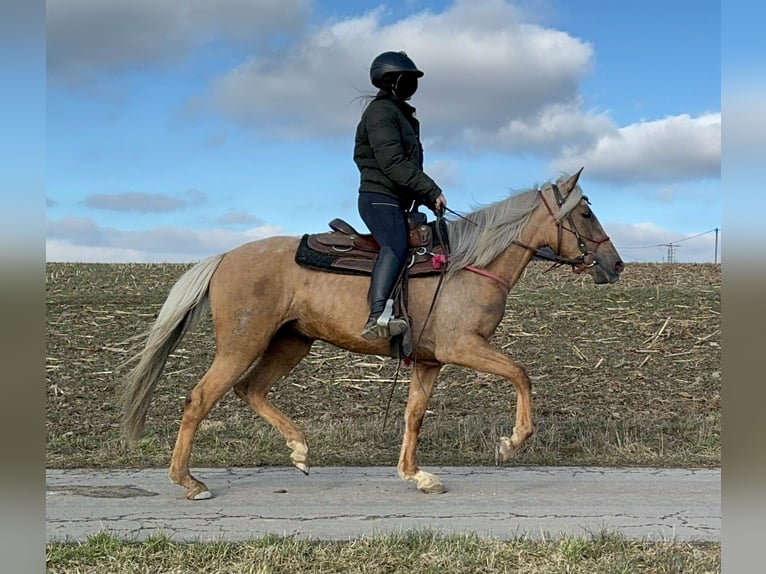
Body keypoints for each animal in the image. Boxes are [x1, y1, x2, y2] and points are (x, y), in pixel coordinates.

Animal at [120, 168, 624, 500]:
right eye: (585, 214)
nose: (615, 264)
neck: (467, 265)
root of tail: (225, 257)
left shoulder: (428, 361)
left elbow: (414, 415)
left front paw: (415, 474)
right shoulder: (463, 347)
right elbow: (520, 374)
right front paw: (511, 443)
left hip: (291, 342)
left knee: (251, 389)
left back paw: (299, 450)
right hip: (243, 344)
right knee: (200, 399)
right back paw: (189, 482)